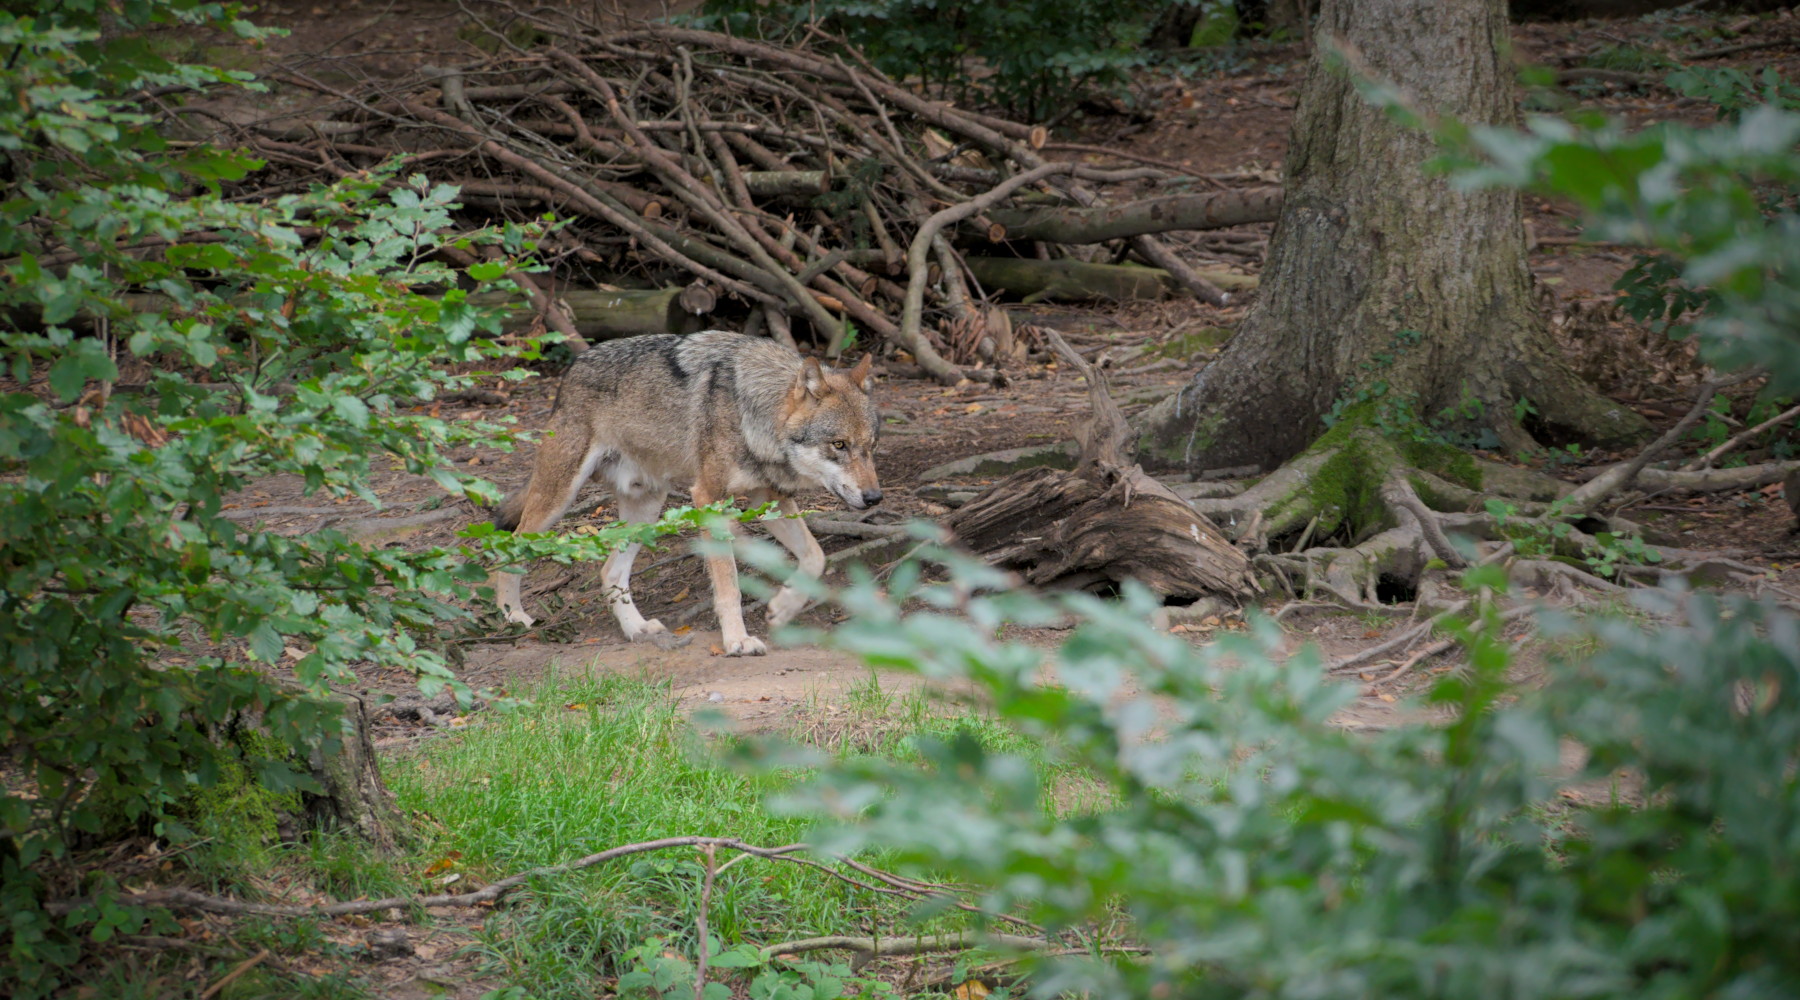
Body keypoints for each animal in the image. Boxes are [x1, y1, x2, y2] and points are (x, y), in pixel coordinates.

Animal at [489, 331, 882, 655]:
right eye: (839, 445)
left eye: (871, 446)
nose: (874, 498)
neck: (754, 413)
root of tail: (573, 369)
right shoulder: (708, 498)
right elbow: (729, 583)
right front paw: (737, 640)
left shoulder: (767, 499)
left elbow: (815, 558)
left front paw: (783, 608)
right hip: (559, 499)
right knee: (509, 550)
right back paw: (514, 616)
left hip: (647, 509)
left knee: (609, 572)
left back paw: (636, 629)